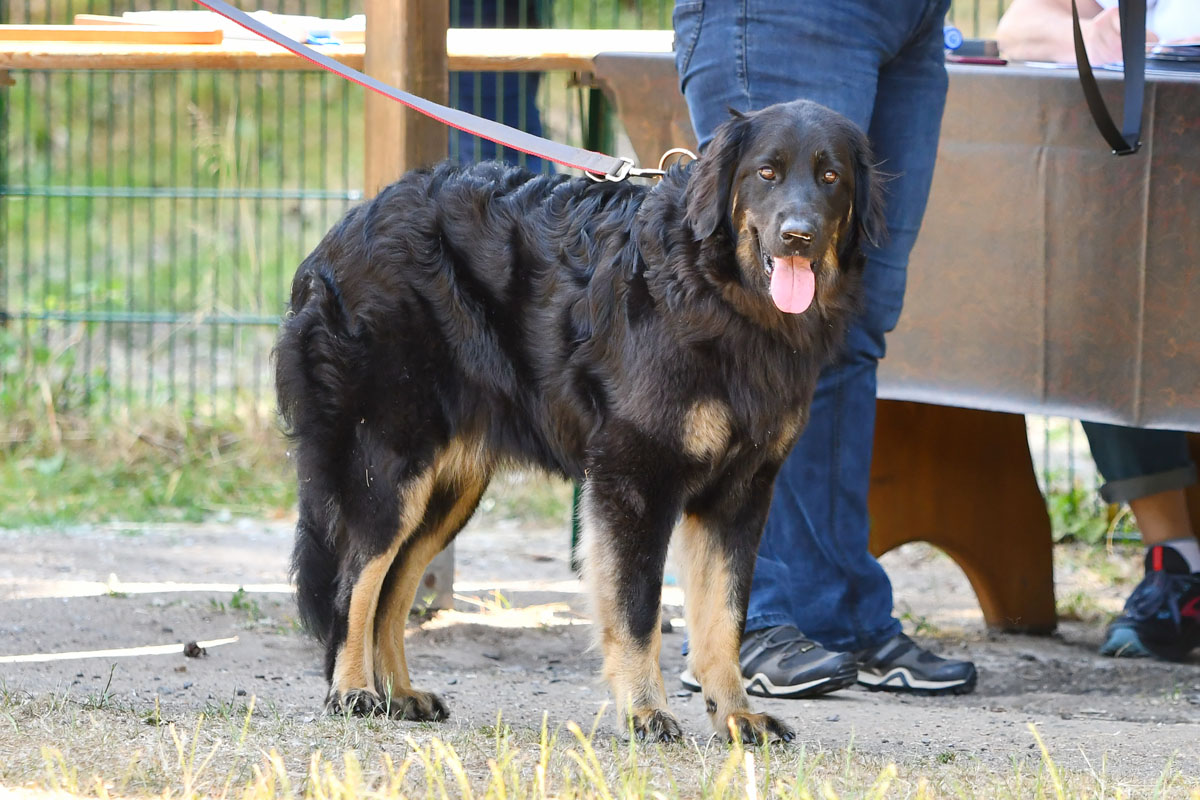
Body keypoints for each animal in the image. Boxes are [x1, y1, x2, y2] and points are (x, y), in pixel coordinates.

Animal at [276, 100, 888, 743]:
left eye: (830, 177)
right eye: (766, 173)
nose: (798, 235)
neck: (714, 290)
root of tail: (342, 233)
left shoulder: (739, 494)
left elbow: (724, 616)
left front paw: (735, 714)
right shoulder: (635, 478)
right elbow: (637, 608)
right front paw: (645, 710)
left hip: (448, 490)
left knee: (392, 587)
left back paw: (401, 695)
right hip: (389, 467)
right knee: (355, 581)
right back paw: (354, 691)